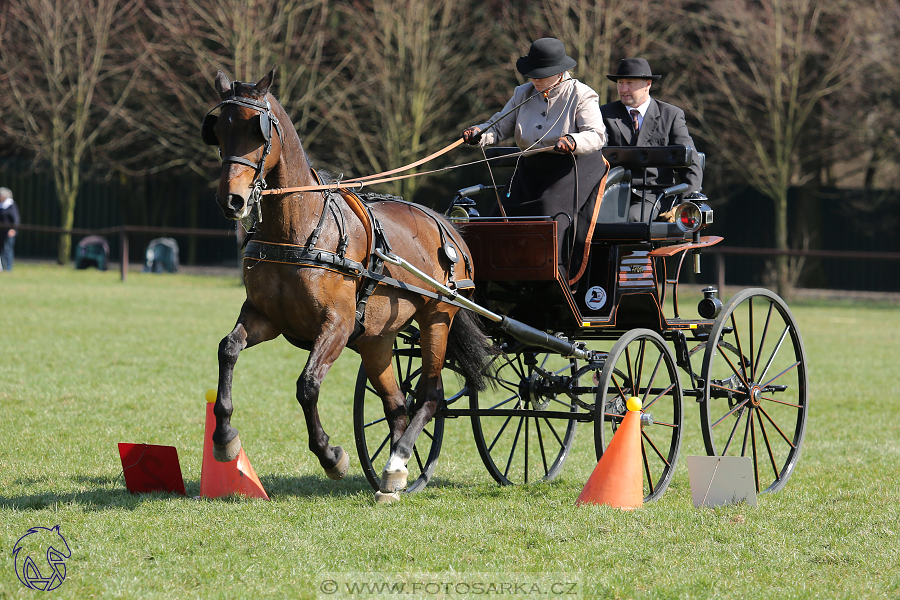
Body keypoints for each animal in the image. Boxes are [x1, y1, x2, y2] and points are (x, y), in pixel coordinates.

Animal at [202, 67, 492, 502]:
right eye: (218, 129)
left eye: (258, 130)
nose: (231, 200)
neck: (299, 229)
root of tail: (446, 223)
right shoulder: (265, 318)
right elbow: (228, 349)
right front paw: (224, 438)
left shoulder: (336, 326)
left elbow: (307, 385)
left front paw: (330, 456)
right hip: (377, 341)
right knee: (397, 405)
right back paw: (395, 473)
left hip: (437, 318)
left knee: (429, 395)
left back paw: (397, 461)